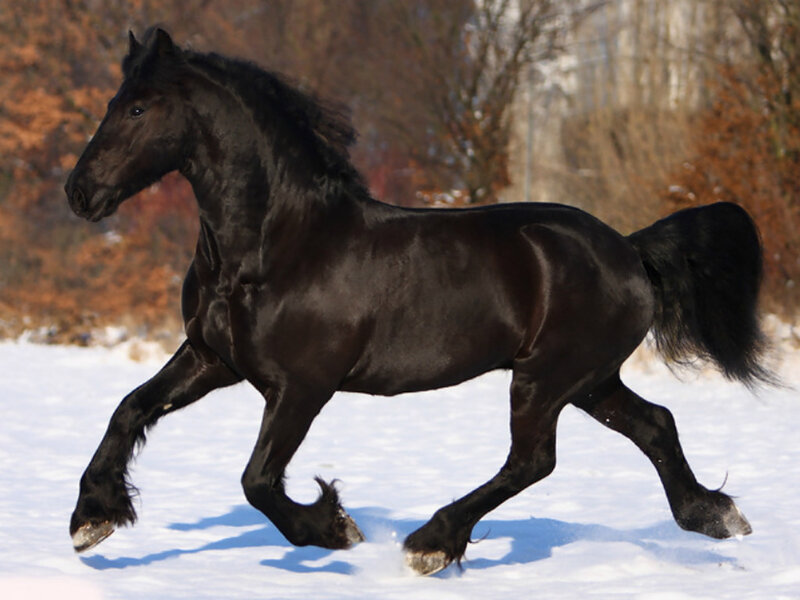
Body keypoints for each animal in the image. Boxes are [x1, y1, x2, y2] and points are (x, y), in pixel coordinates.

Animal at [64, 28, 771, 575]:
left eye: (138, 110)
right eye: (115, 102)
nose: (80, 192)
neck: (274, 245)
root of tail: (628, 249)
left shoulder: (302, 385)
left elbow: (258, 480)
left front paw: (335, 527)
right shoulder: (213, 358)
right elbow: (131, 408)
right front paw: (91, 518)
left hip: (547, 378)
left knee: (534, 460)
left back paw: (431, 543)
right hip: (590, 381)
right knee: (654, 425)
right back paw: (716, 516)